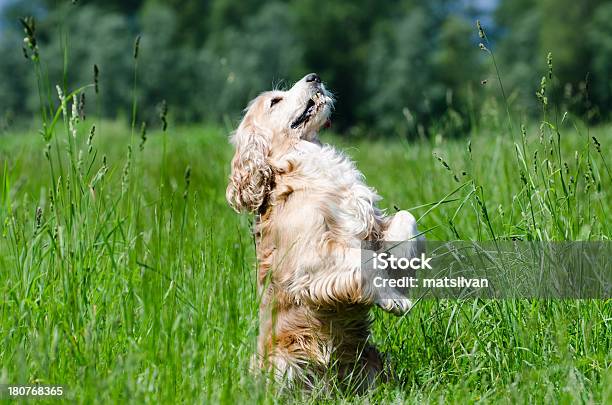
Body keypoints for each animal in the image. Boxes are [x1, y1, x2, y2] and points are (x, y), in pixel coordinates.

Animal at [226, 72, 420, 388]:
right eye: (275, 101)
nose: (314, 76)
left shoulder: (372, 226)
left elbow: (406, 219)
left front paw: (402, 272)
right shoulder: (310, 256)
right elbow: (363, 260)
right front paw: (393, 298)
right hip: (282, 365)